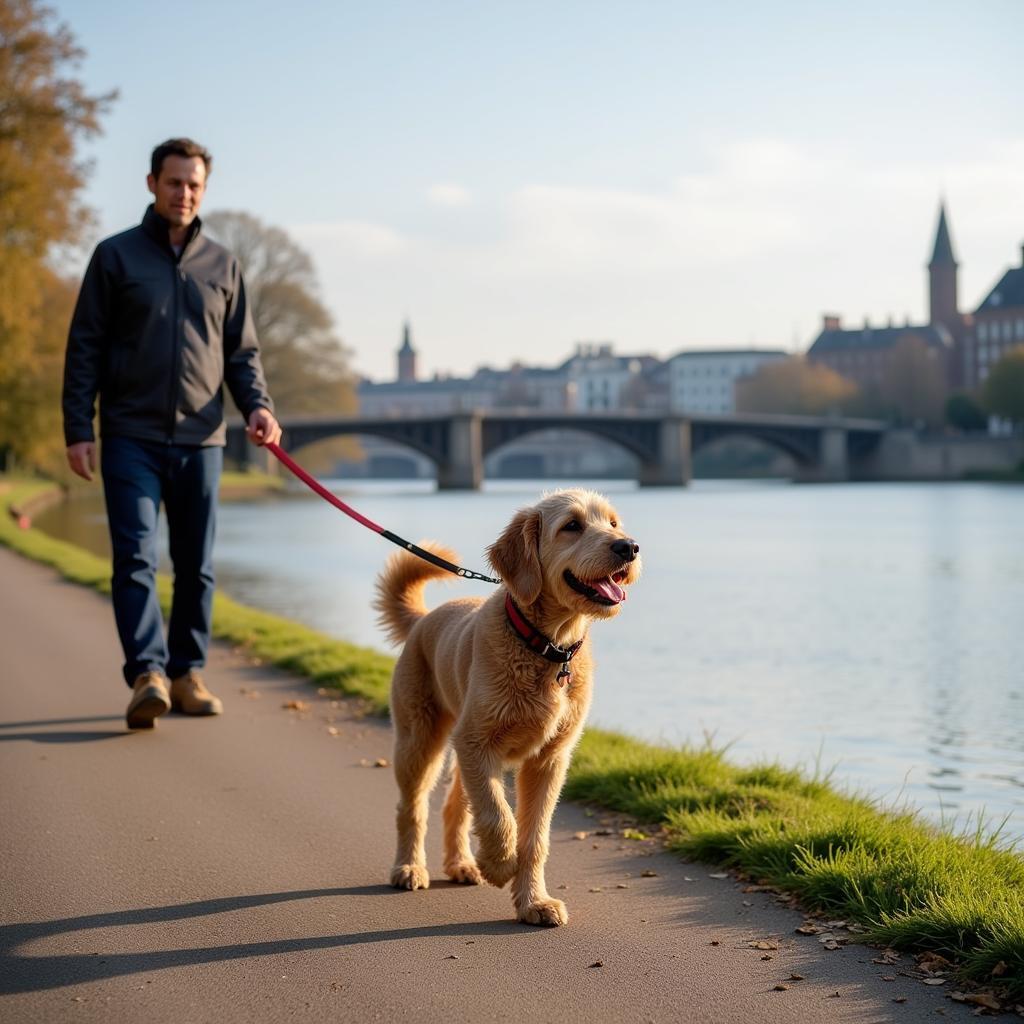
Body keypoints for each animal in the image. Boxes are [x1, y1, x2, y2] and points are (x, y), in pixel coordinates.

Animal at [372, 487, 634, 929]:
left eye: (613, 523)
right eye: (572, 526)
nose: (628, 547)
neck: (546, 648)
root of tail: (424, 619)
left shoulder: (548, 760)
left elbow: (534, 836)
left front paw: (533, 902)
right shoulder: (478, 744)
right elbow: (498, 815)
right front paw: (498, 864)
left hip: (461, 753)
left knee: (454, 805)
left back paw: (461, 863)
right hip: (420, 740)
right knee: (413, 807)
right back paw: (409, 867)